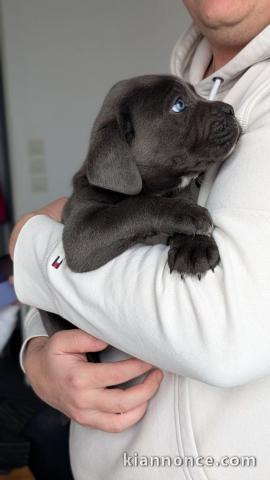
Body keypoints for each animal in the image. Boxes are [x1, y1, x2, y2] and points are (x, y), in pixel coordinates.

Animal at [42, 75, 240, 338]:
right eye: (179, 105)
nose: (230, 109)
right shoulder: (80, 234)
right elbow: (134, 206)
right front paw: (187, 214)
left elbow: (185, 199)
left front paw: (194, 246)